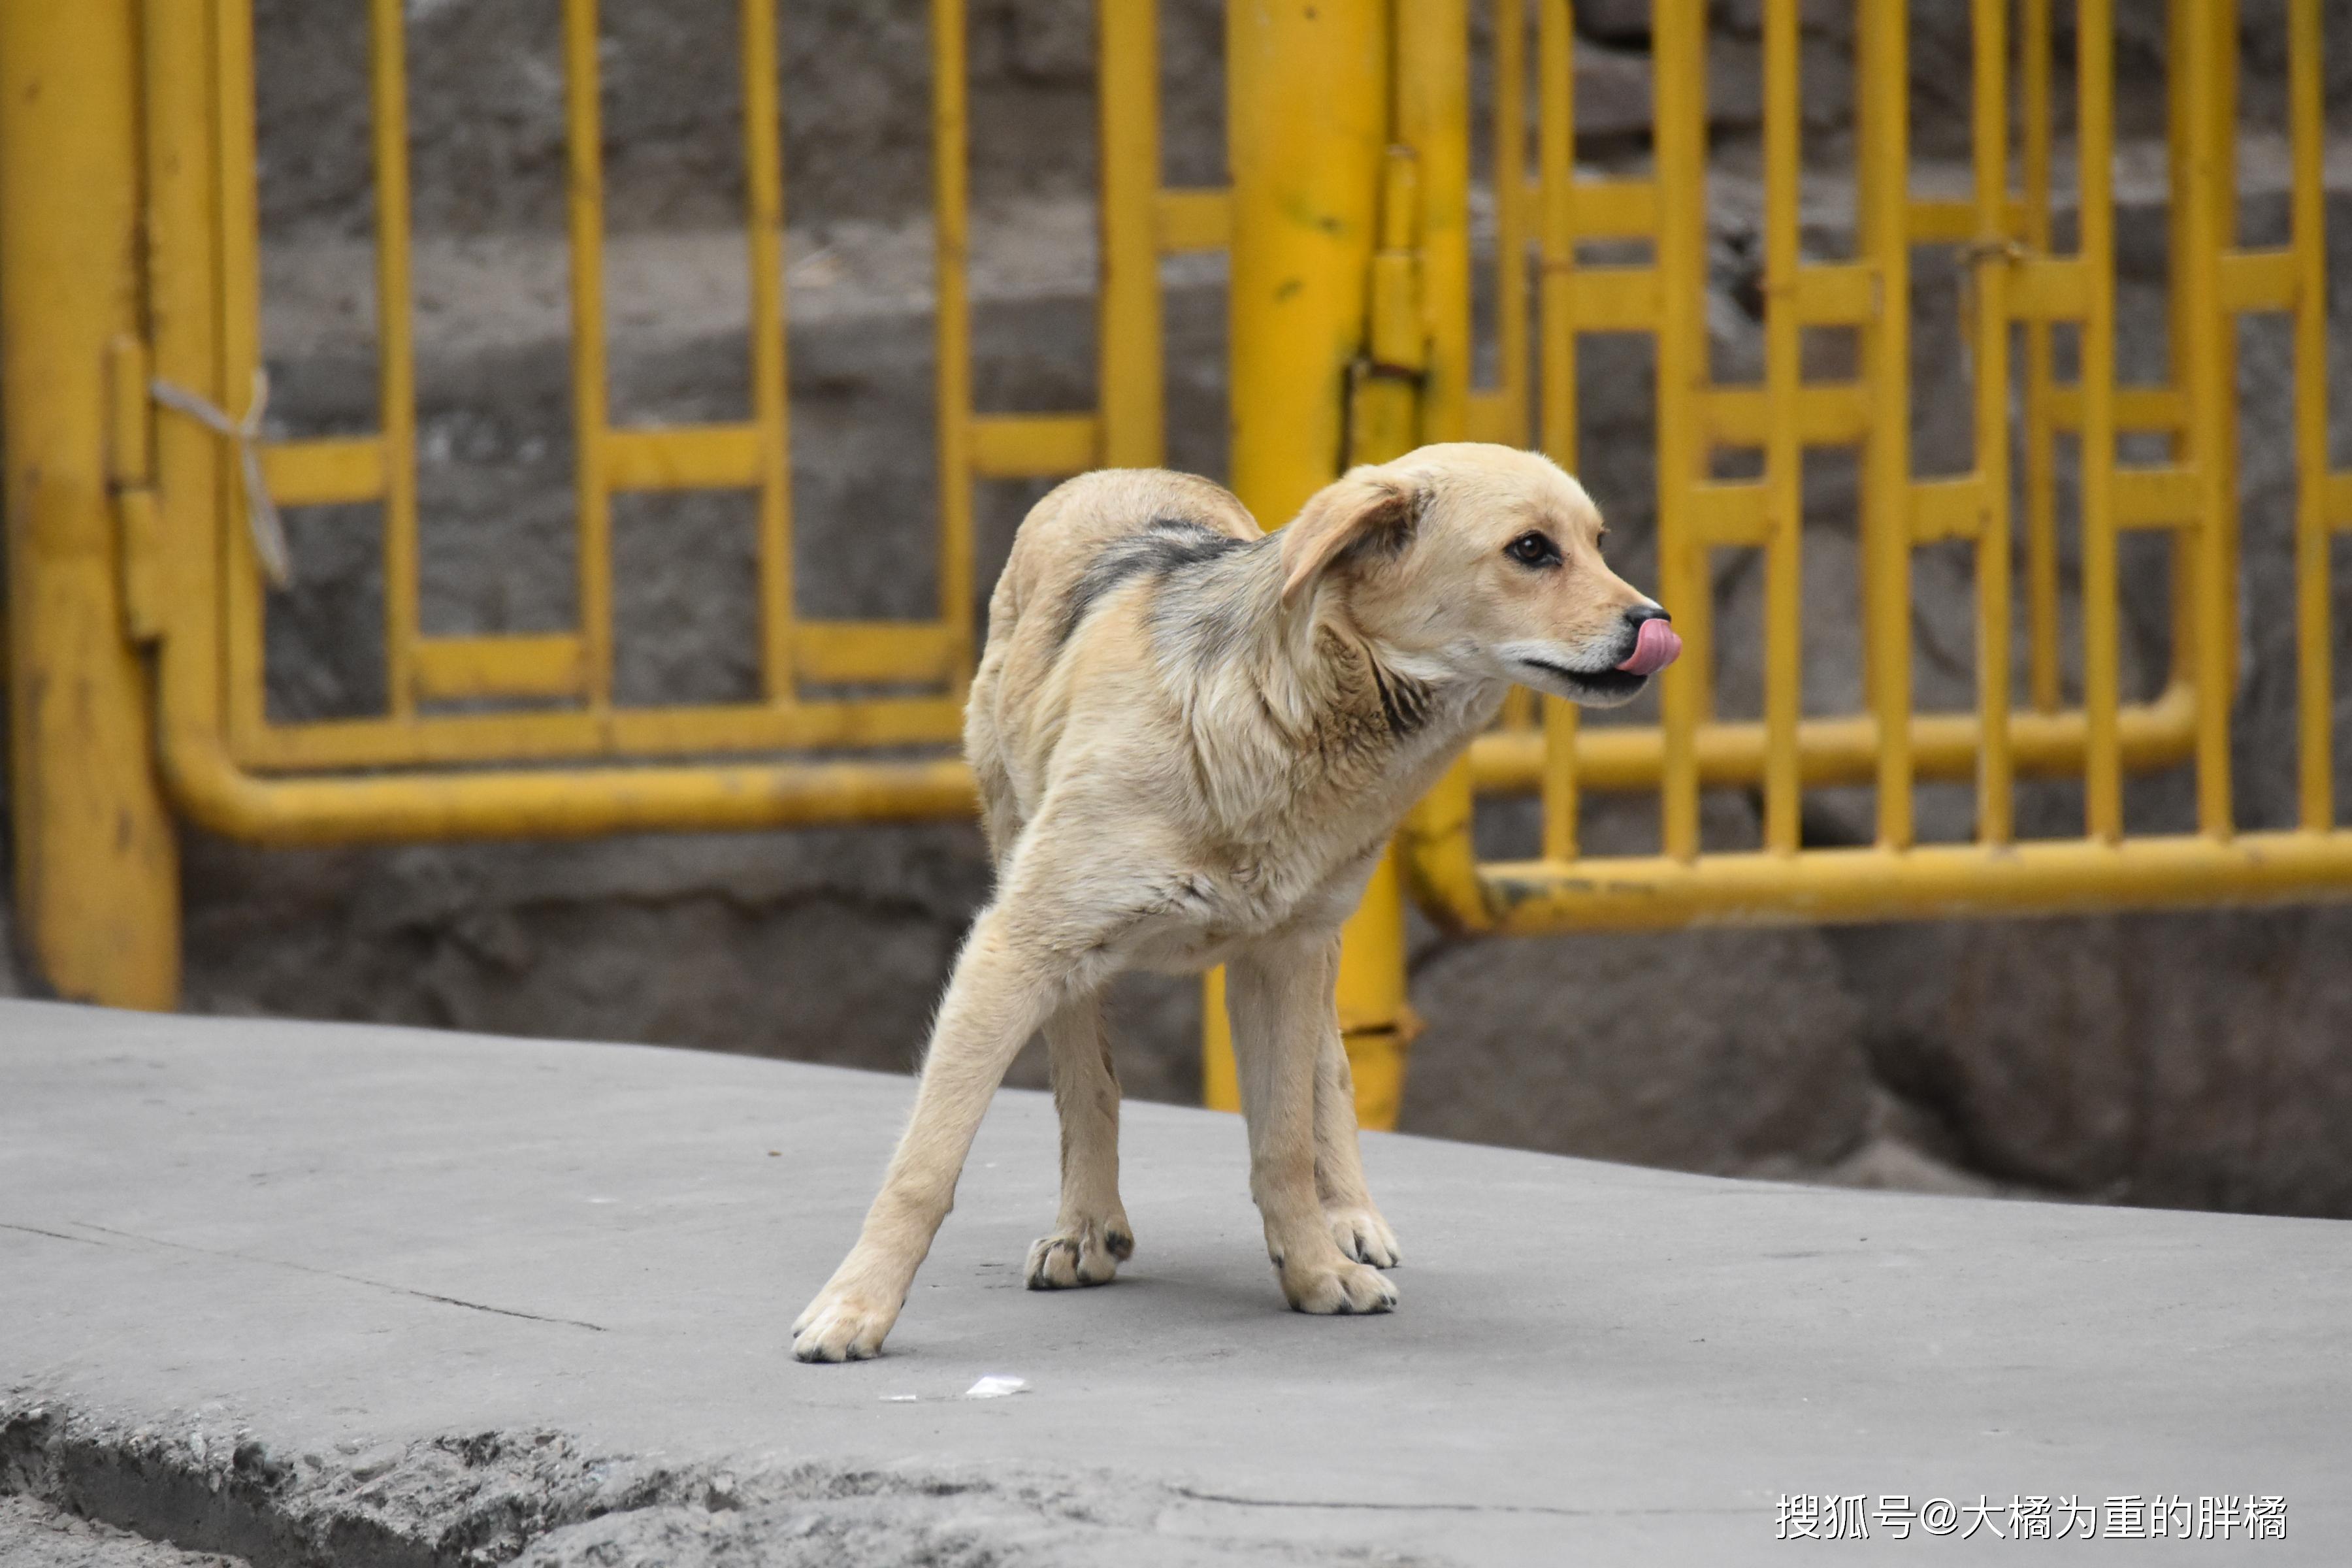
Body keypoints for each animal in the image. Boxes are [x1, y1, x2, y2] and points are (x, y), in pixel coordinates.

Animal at [800, 439, 1684, 1363]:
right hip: (1043, 900)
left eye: (1597, 543)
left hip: (1317, 951)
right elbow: (925, 1167)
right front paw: (856, 1308)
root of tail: (1125, 472)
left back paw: (1348, 1218)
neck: (1271, 721)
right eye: (1531, 550)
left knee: (1330, 1072)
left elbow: (1284, 1146)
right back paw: (1086, 1225)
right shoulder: (1016, 948)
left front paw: (1317, 1272)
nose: (1655, 622)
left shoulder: (1281, 960)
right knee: (1085, 1077)